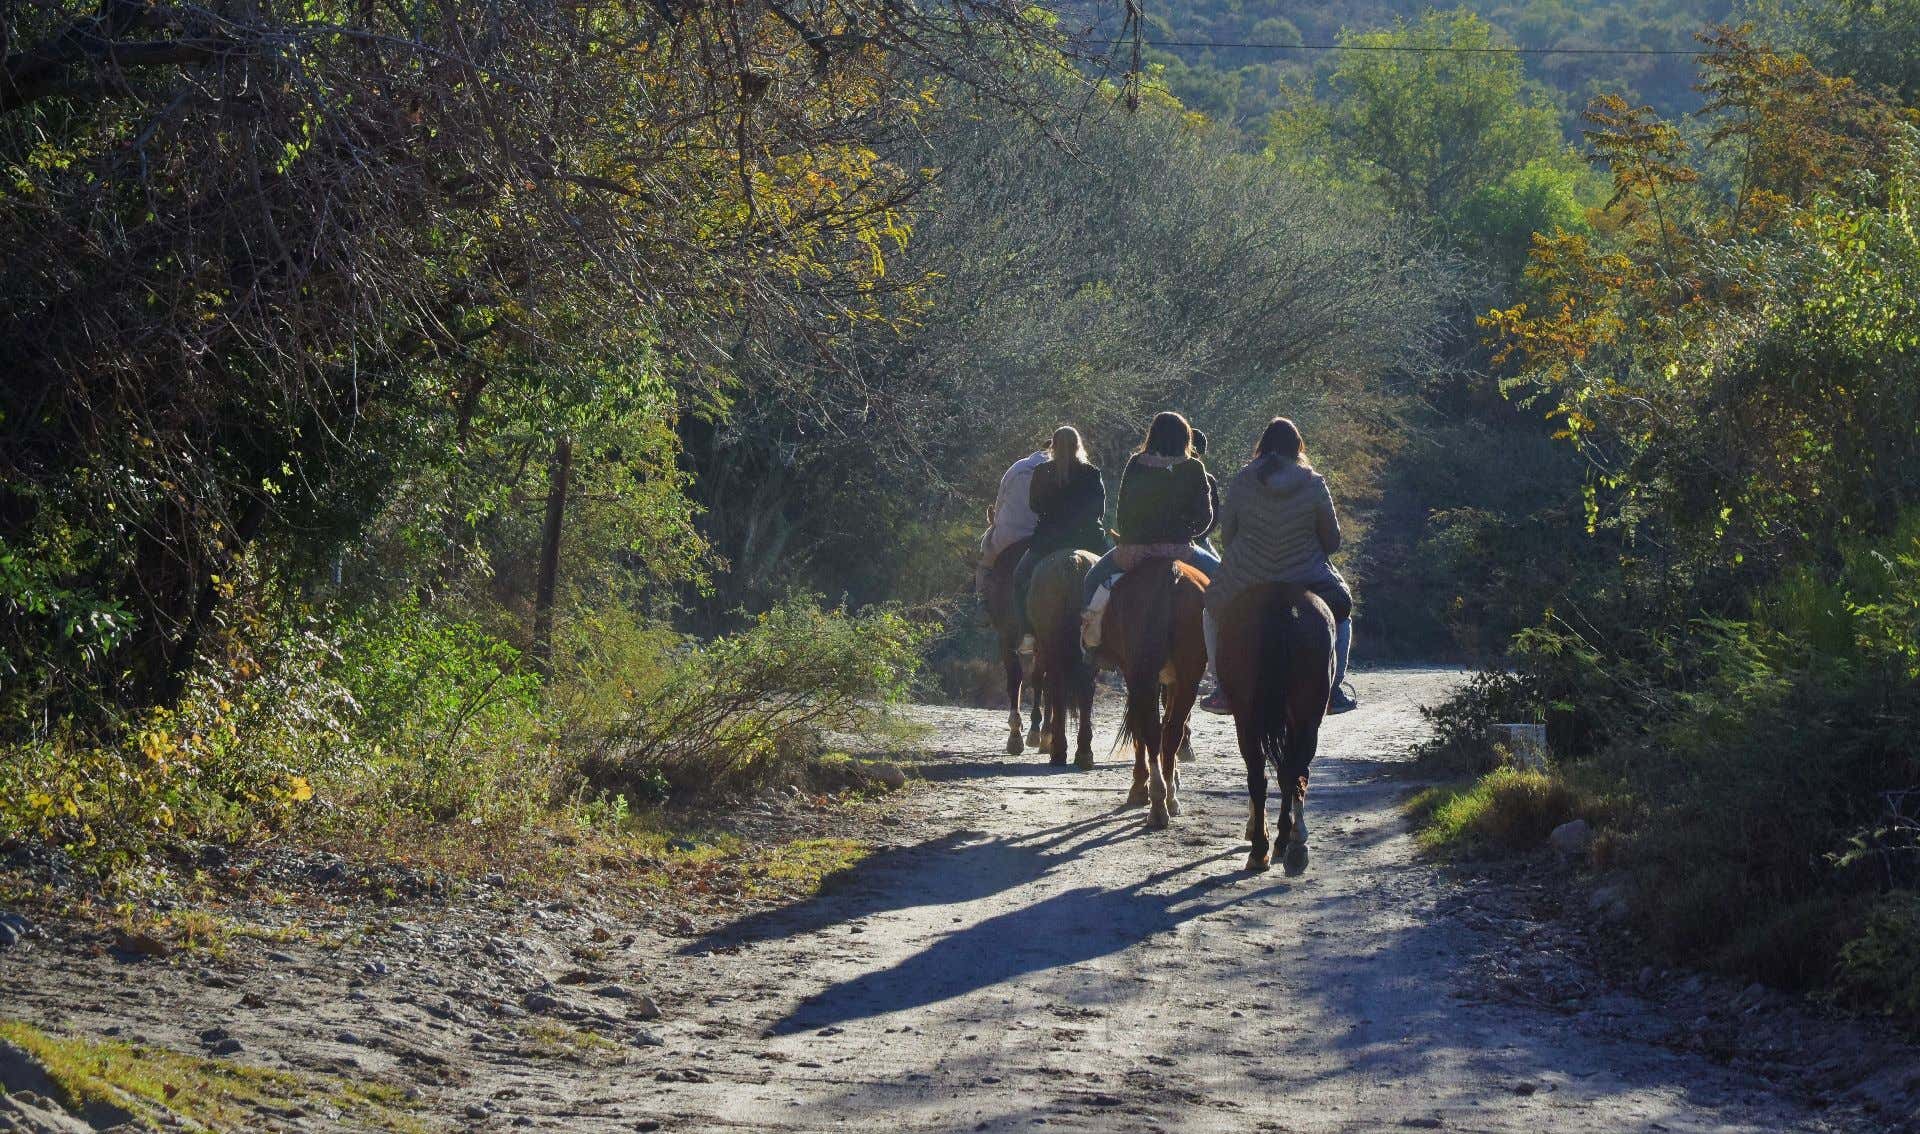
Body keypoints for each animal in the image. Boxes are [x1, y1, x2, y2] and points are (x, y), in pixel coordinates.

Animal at [1024, 549, 1098, 769]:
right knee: (1085, 689)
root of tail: (1074, 562)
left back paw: (1057, 749)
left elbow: (1041, 682)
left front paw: (1040, 734)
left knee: (1056, 685)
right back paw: (1083, 752)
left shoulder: (1041, 651)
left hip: (1049, 646)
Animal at [1095, 558, 1208, 829]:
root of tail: (1170, 574)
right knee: (1171, 730)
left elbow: (1139, 729)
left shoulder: (1135, 675)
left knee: (1151, 730)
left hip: (1143, 675)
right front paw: (1173, 779)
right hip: (1189, 676)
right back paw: (1169, 799)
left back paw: (1157, 802)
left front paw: (1139, 786)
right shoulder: (1170, 680)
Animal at [1214, 583, 1335, 875]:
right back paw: (1289, 843)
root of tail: (1280, 601)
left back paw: (1262, 850)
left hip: (1247, 715)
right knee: (1291, 772)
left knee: (1261, 776)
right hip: (1305, 717)